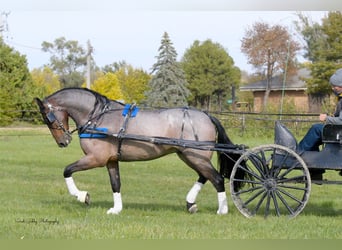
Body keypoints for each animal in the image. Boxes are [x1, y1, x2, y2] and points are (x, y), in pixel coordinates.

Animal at [34, 88, 238, 215]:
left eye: (47, 118)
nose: (63, 142)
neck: (97, 117)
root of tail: (207, 115)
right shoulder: (110, 160)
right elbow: (115, 184)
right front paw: (116, 209)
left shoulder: (96, 159)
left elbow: (67, 170)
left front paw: (82, 196)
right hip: (190, 156)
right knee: (205, 176)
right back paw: (191, 203)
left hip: (196, 156)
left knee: (217, 178)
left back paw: (222, 210)